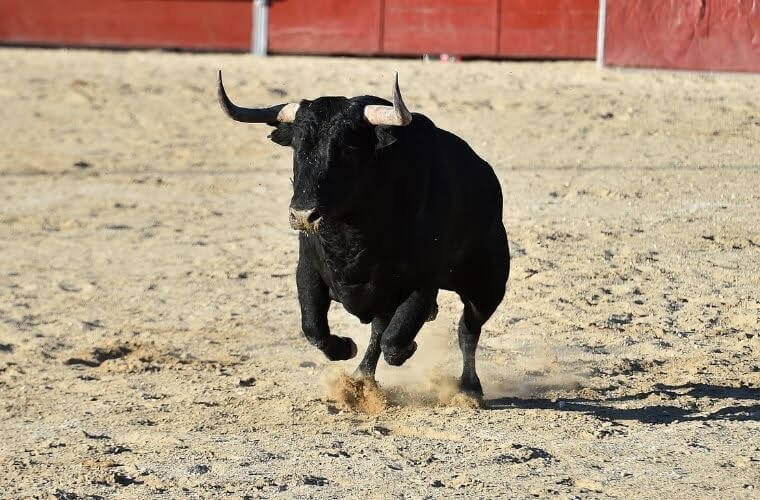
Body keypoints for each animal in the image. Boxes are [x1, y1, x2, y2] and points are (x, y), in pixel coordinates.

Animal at [217, 72, 508, 396]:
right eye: (297, 146)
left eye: (347, 148)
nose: (303, 215)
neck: (351, 235)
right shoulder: (308, 270)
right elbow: (315, 329)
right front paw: (346, 347)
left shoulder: (422, 285)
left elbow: (395, 340)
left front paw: (408, 350)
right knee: (380, 331)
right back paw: (361, 378)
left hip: (488, 284)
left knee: (467, 330)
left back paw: (470, 387)